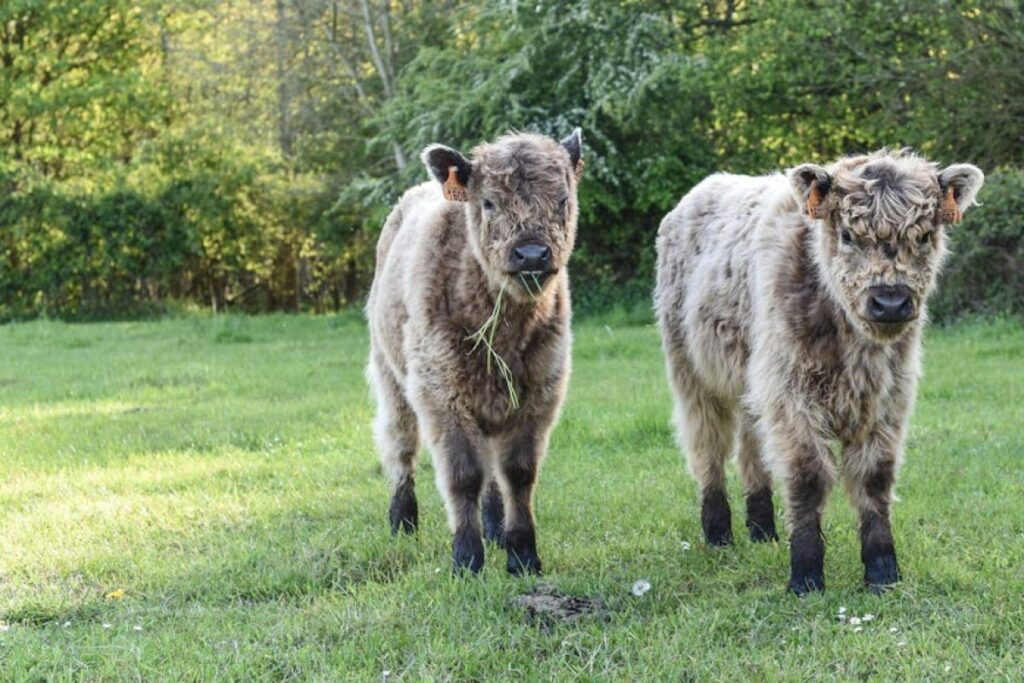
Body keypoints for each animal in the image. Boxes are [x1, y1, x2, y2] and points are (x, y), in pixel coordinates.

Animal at [366, 129, 583, 574]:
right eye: (488, 202)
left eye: (562, 200)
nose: (531, 254)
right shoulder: (440, 393)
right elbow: (463, 475)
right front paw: (466, 558)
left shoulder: (540, 392)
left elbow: (517, 472)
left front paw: (522, 553)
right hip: (391, 377)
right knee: (400, 445)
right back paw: (402, 520)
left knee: (492, 473)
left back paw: (495, 527)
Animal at [654, 149, 984, 593]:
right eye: (846, 234)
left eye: (925, 236)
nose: (890, 301)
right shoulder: (792, 394)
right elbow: (807, 477)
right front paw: (806, 574)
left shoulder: (889, 399)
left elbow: (874, 479)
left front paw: (882, 570)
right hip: (692, 372)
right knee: (707, 445)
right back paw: (719, 532)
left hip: (752, 380)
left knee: (751, 446)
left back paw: (762, 529)